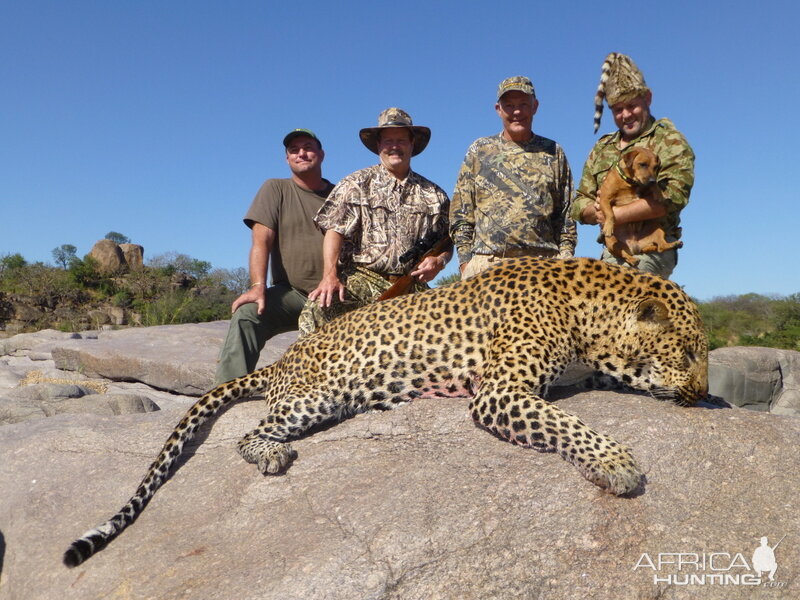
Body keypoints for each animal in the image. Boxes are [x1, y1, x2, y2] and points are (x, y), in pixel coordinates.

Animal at [65, 258, 708, 568]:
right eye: (688, 351)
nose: (703, 392)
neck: (587, 314)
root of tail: (283, 359)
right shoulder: (499, 392)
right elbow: (567, 424)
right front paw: (618, 463)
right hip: (316, 397)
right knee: (248, 433)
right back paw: (274, 454)